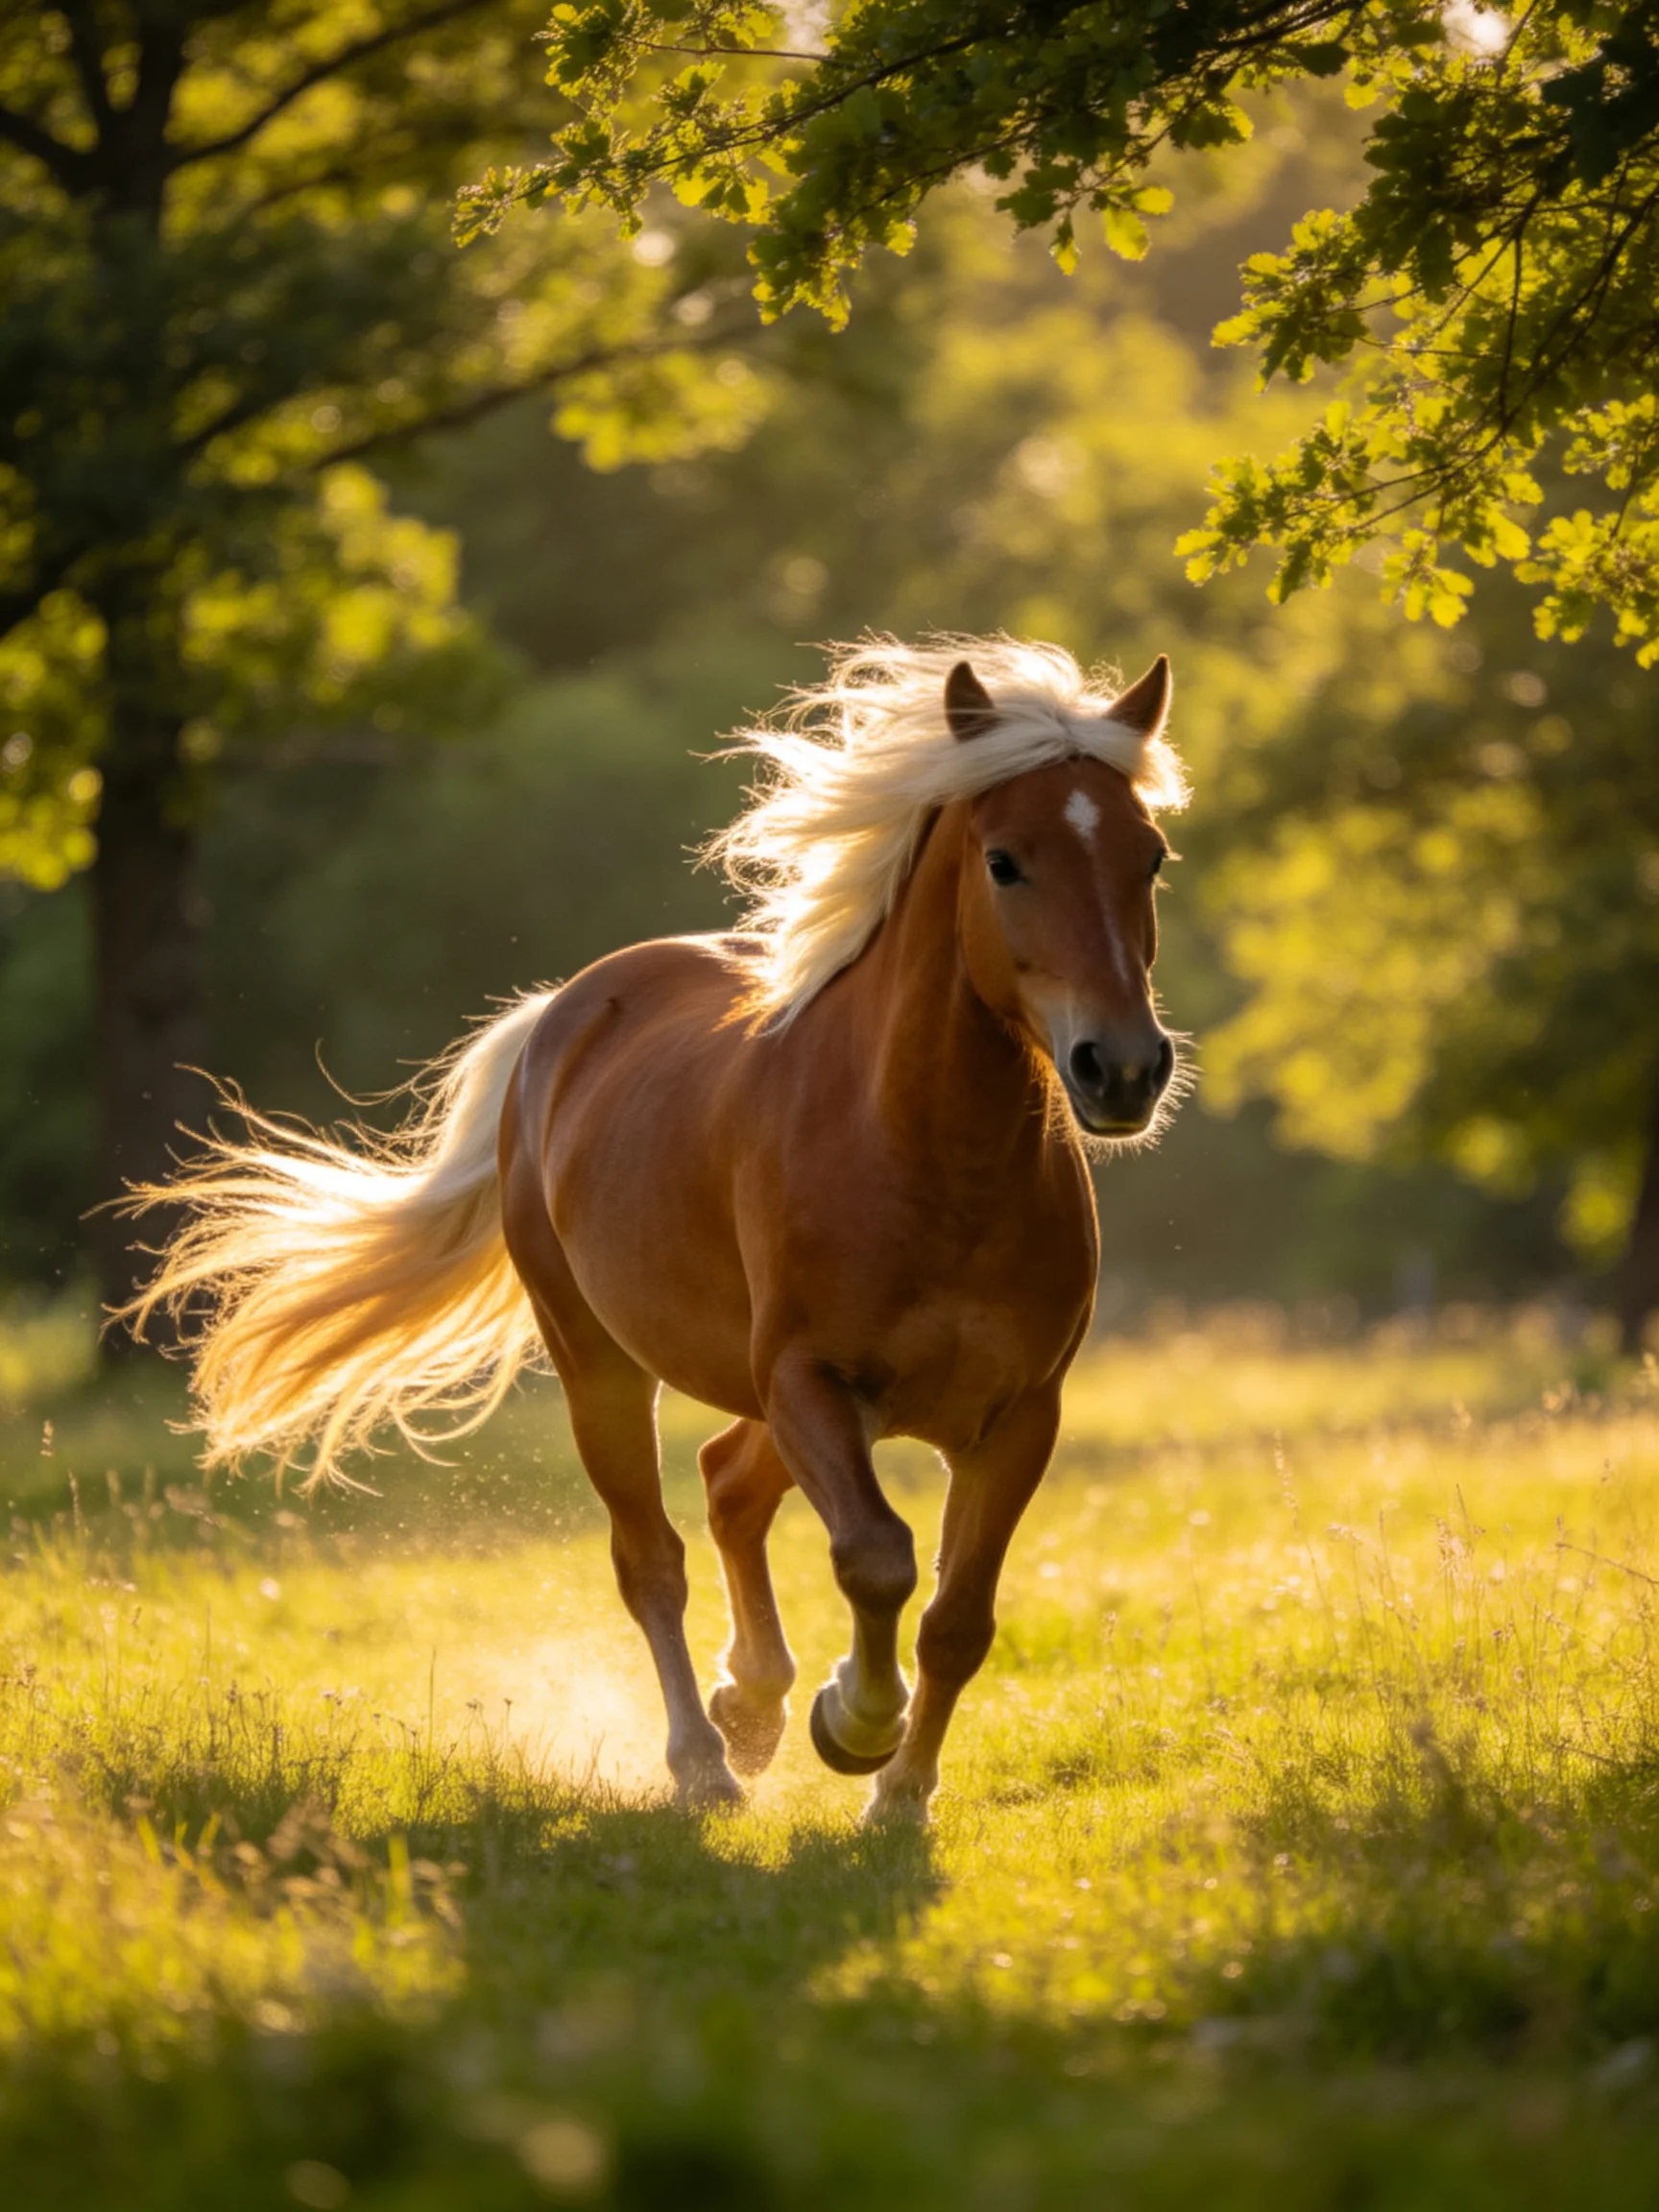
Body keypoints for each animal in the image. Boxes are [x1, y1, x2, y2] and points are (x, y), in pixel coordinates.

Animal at [126, 636, 1190, 1821]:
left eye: (1149, 857)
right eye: (1005, 861)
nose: (1124, 1069)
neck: (921, 1154)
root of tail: (560, 1017)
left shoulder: (1017, 1418)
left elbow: (958, 1616)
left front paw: (899, 1794)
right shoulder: (810, 1380)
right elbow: (876, 1556)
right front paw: (854, 1723)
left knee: (728, 1485)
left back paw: (753, 1705)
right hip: (601, 1364)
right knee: (652, 1557)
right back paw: (704, 1761)